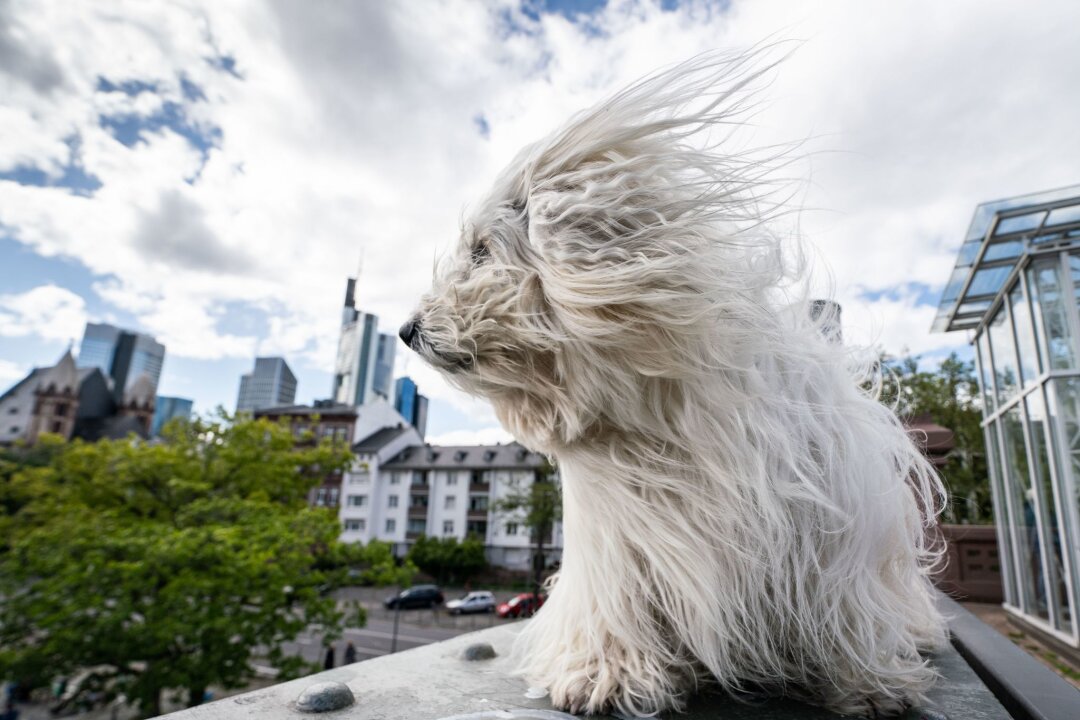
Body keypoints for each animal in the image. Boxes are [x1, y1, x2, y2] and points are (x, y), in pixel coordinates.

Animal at [403, 49, 946, 716]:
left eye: (482, 251)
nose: (405, 329)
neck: (656, 420)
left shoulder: (825, 536)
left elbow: (841, 606)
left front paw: (865, 682)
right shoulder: (620, 546)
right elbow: (616, 610)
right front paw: (605, 675)